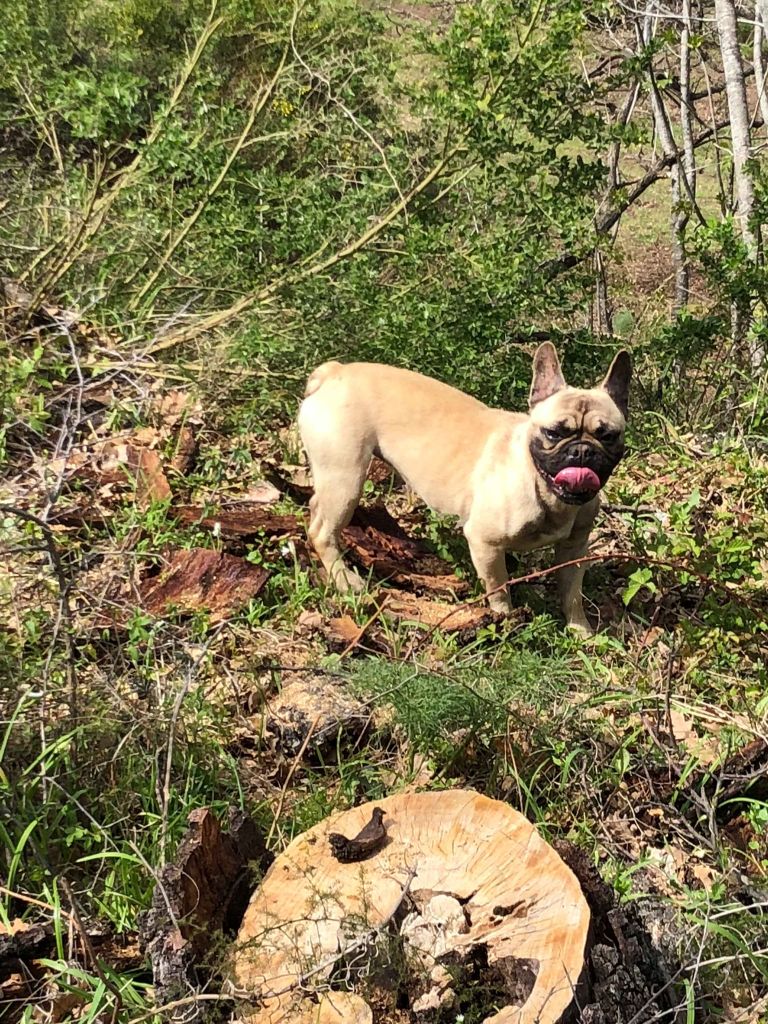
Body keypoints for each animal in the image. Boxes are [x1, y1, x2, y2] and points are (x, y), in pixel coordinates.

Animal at [298, 343, 630, 633]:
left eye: (609, 436)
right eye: (554, 433)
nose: (582, 451)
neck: (542, 485)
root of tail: (334, 371)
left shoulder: (575, 548)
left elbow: (572, 593)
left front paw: (581, 631)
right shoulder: (486, 544)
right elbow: (499, 590)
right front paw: (505, 621)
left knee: (315, 509)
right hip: (346, 478)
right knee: (322, 531)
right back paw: (345, 581)